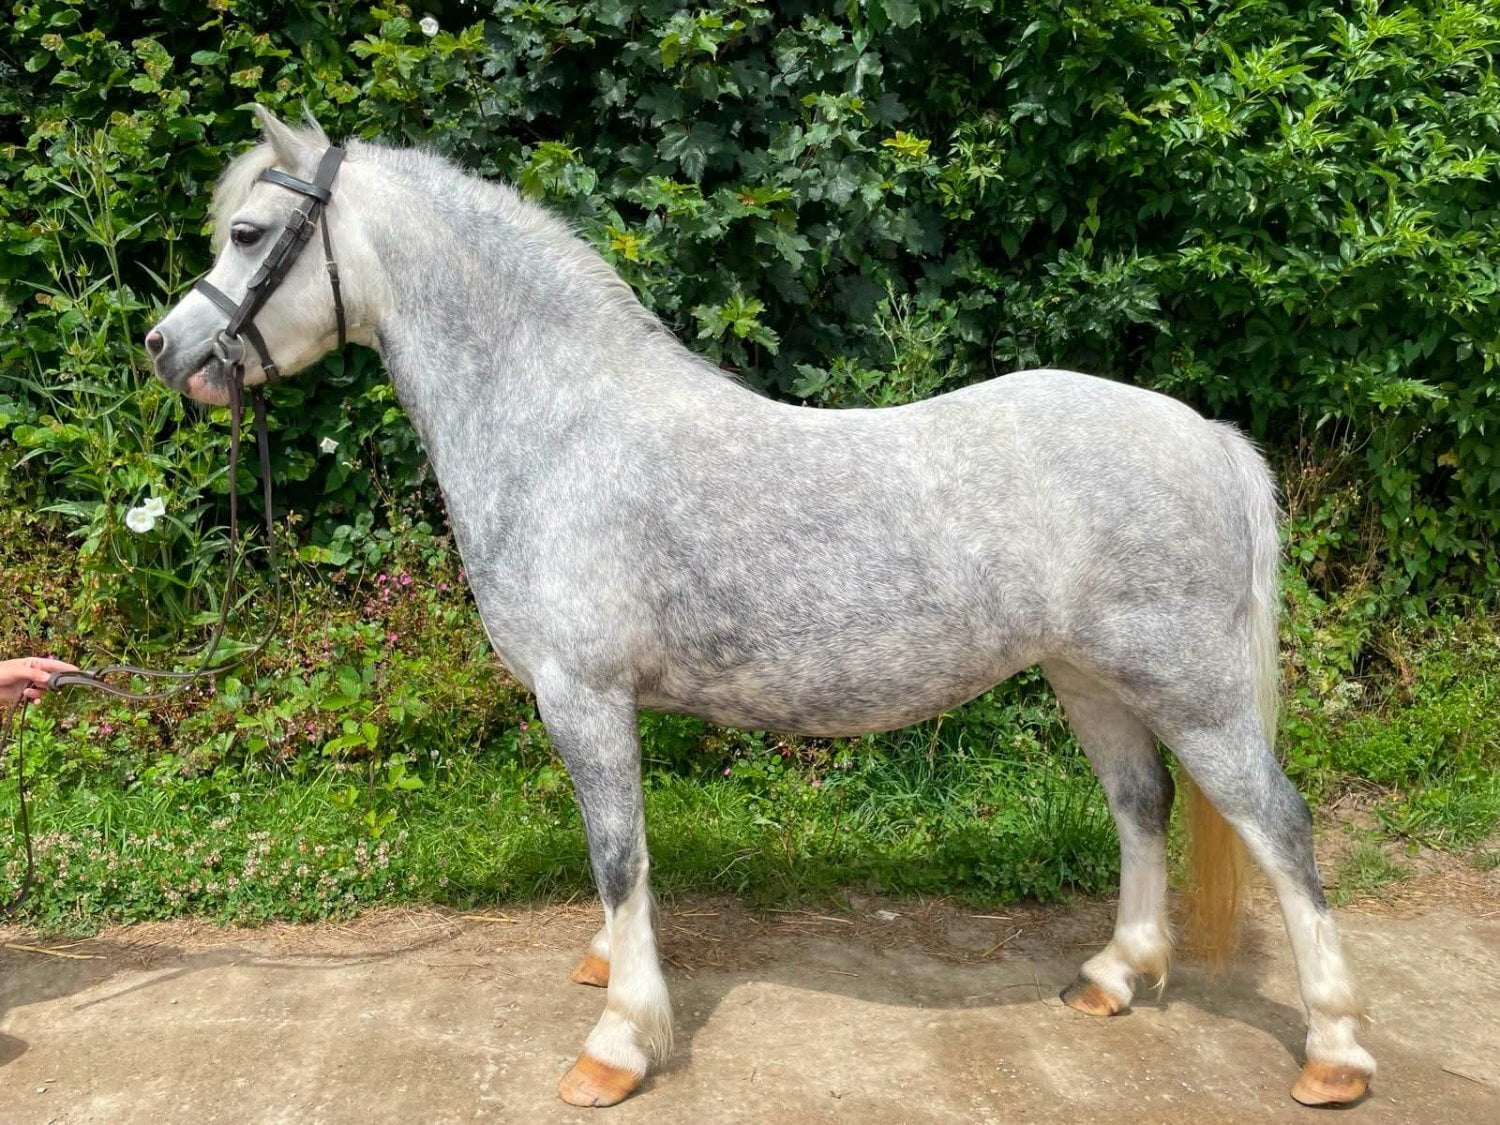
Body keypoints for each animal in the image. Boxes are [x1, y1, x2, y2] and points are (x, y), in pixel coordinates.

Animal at [145, 108, 1375, 1109]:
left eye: (248, 234)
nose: (168, 349)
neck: (561, 426)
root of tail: (1204, 434)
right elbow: (622, 865)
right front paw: (610, 969)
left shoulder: (583, 697)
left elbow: (619, 855)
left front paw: (618, 1044)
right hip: (1091, 679)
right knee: (1140, 804)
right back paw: (1116, 976)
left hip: (1189, 687)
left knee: (1280, 825)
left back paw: (1336, 1053)